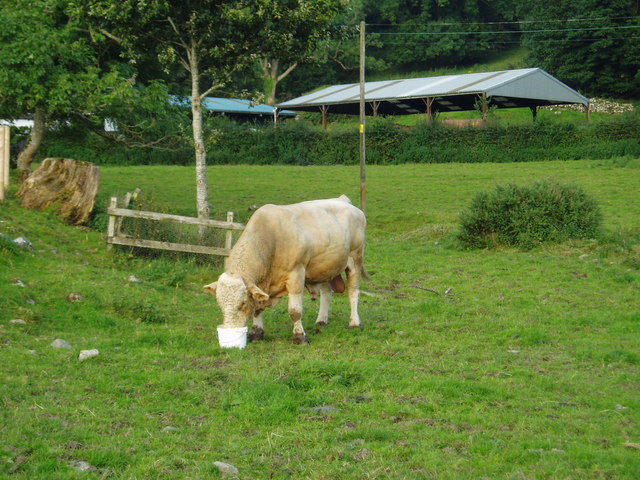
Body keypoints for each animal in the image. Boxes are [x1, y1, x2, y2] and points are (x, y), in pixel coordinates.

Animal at [202, 195, 368, 344]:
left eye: (243, 302)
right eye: (219, 302)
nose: (230, 328)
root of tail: (343, 200)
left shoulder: (296, 275)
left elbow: (295, 311)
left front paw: (299, 336)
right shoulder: (261, 286)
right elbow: (257, 309)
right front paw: (257, 333)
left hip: (355, 259)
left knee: (353, 292)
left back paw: (354, 322)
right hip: (326, 267)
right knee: (327, 293)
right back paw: (322, 320)